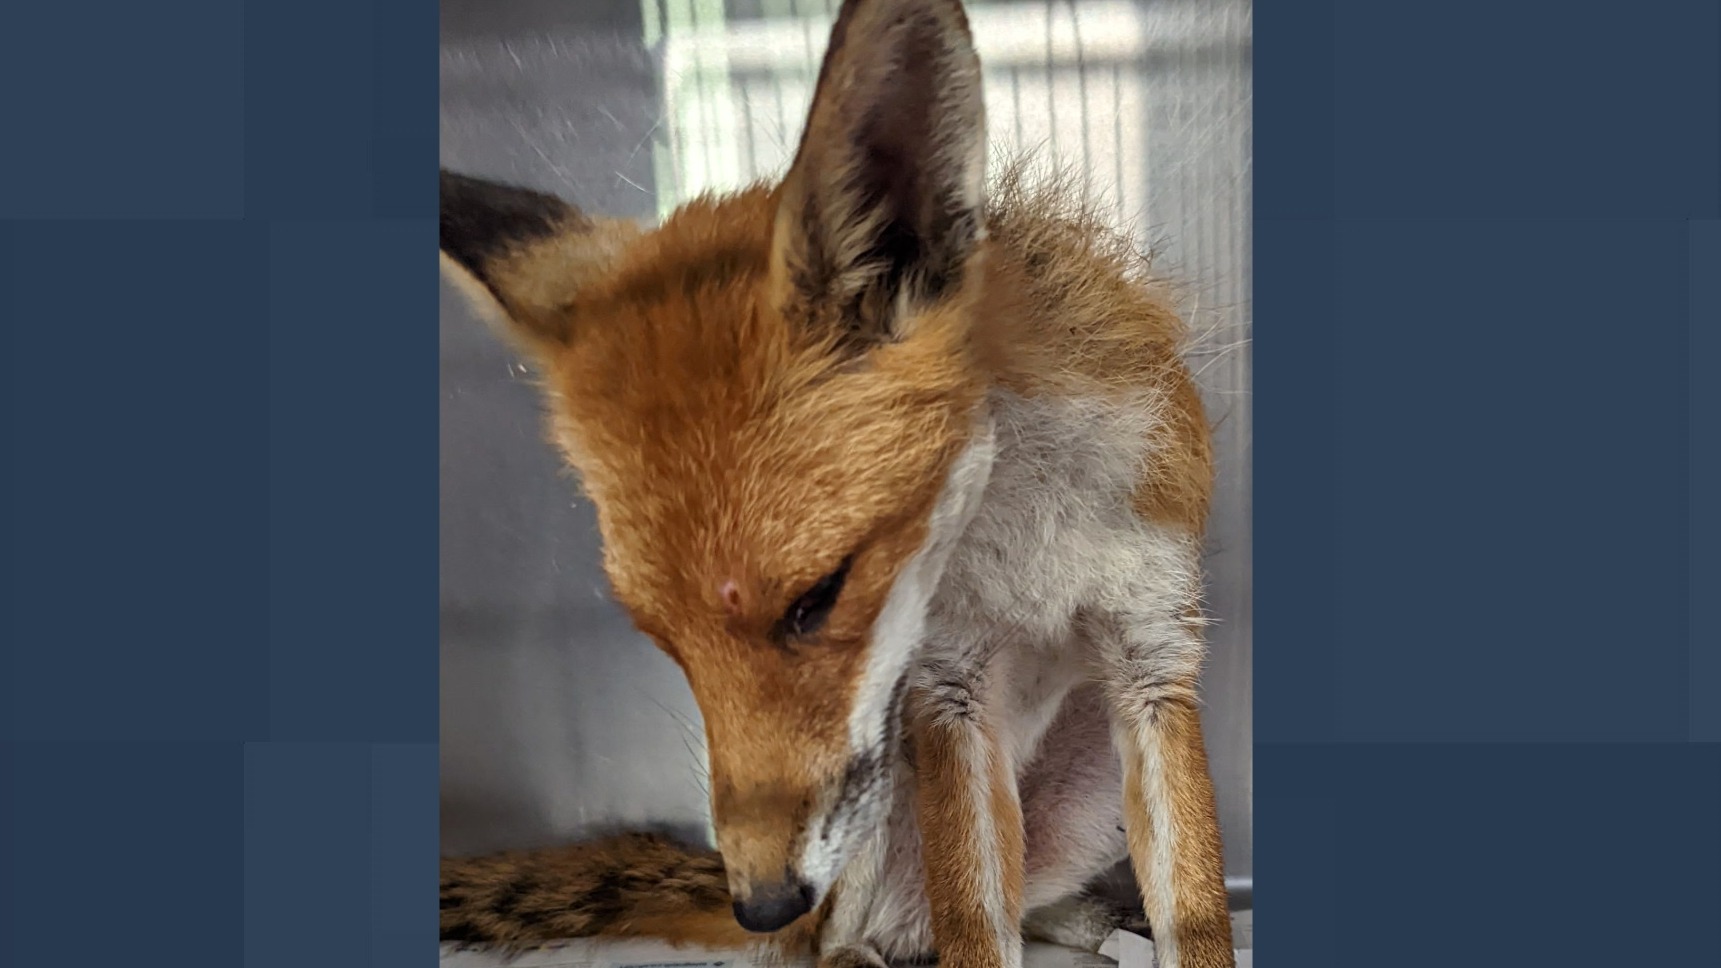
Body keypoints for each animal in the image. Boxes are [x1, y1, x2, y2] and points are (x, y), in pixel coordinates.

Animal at [437, 1, 1236, 966]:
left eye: (817, 597)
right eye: (661, 640)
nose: (761, 900)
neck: (1026, 541)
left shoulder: (1154, 654)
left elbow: (1192, 914)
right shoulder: (949, 692)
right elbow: (975, 925)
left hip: (1081, 800)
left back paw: (1086, 923)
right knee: (842, 941)